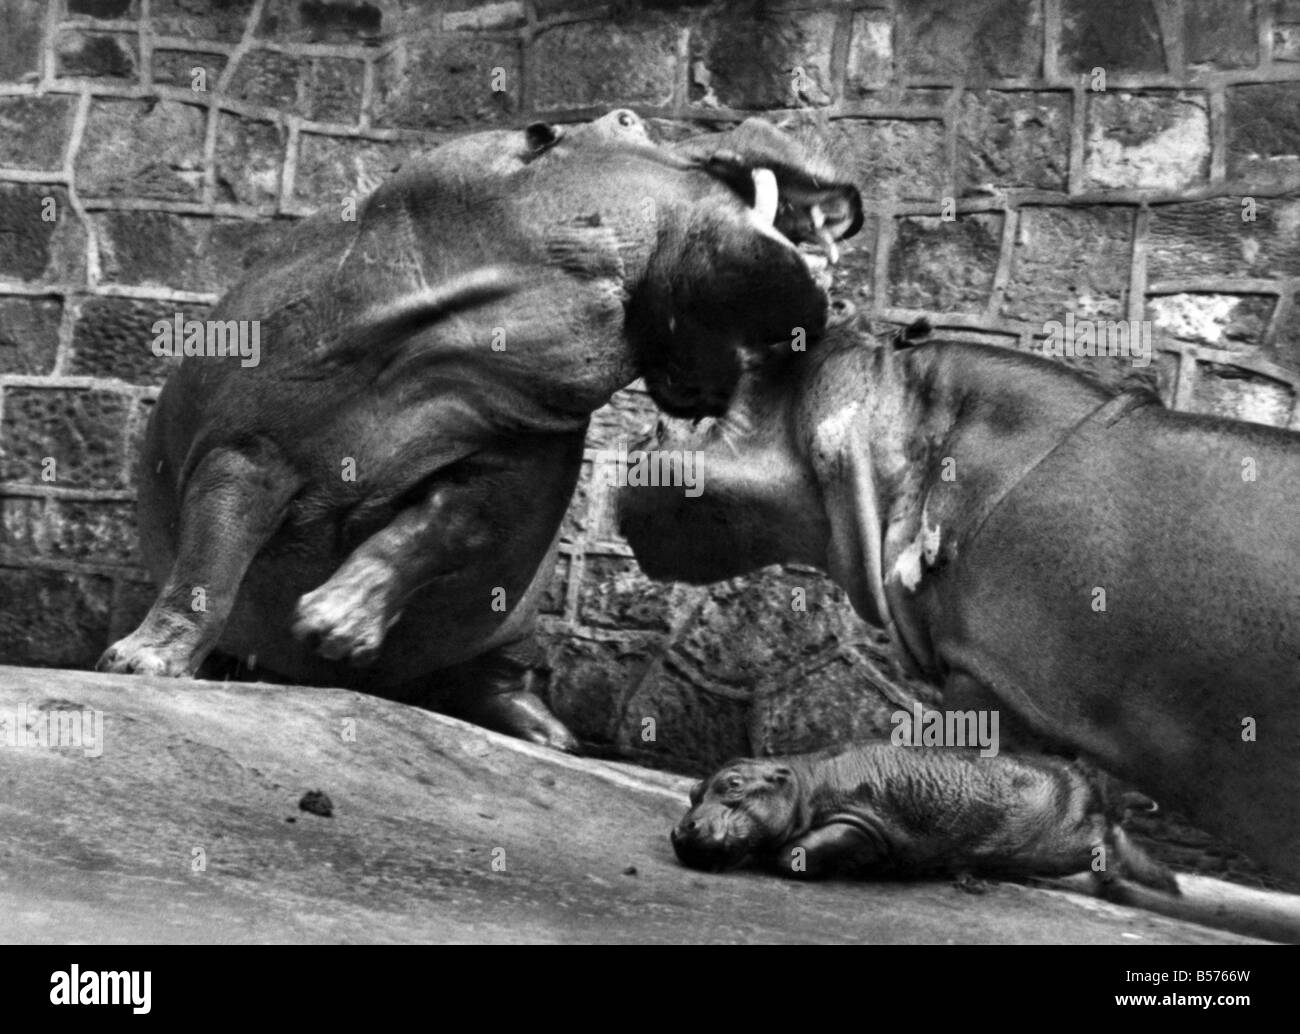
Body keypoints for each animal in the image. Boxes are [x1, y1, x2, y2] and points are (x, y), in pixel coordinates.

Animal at [676, 743, 1185, 889]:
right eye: (694, 789)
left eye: (734, 783)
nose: (684, 828)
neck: (803, 783)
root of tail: (1080, 773)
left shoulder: (861, 823)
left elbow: (797, 852)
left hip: (1064, 841)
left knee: (1108, 837)